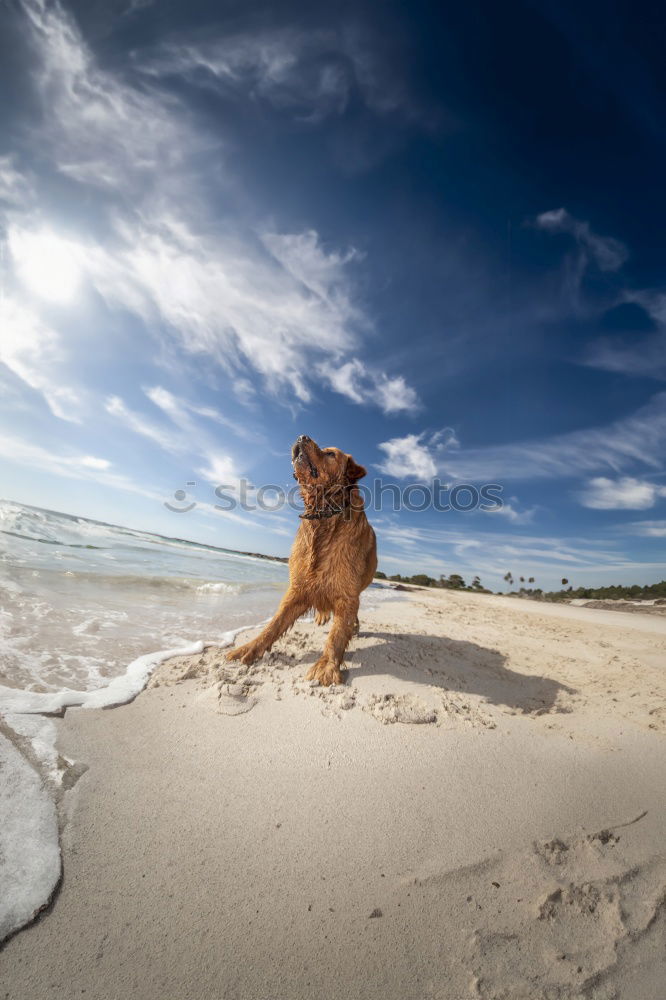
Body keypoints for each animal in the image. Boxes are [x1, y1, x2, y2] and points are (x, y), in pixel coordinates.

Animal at [226, 438, 376, 688]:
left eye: (330, 454)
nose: (301, 437)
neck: (324, 515)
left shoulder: (347, 594)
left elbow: (337, 635)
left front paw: (326, 667)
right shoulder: (298, 588)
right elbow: (274, 625)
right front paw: (249, 648)